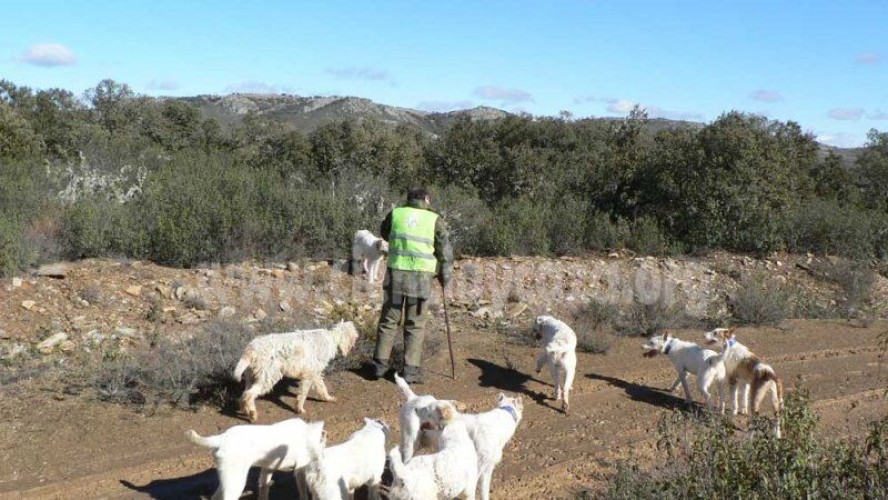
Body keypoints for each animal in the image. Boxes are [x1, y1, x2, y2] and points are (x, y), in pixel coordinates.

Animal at [186, 418, 324, 500]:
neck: (308, 432)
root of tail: (221, 438)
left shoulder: (267, 469)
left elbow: (263, 489)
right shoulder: (299, 469)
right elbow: (303, 493)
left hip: (228, 478)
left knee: (215, 497)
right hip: (236, 482)